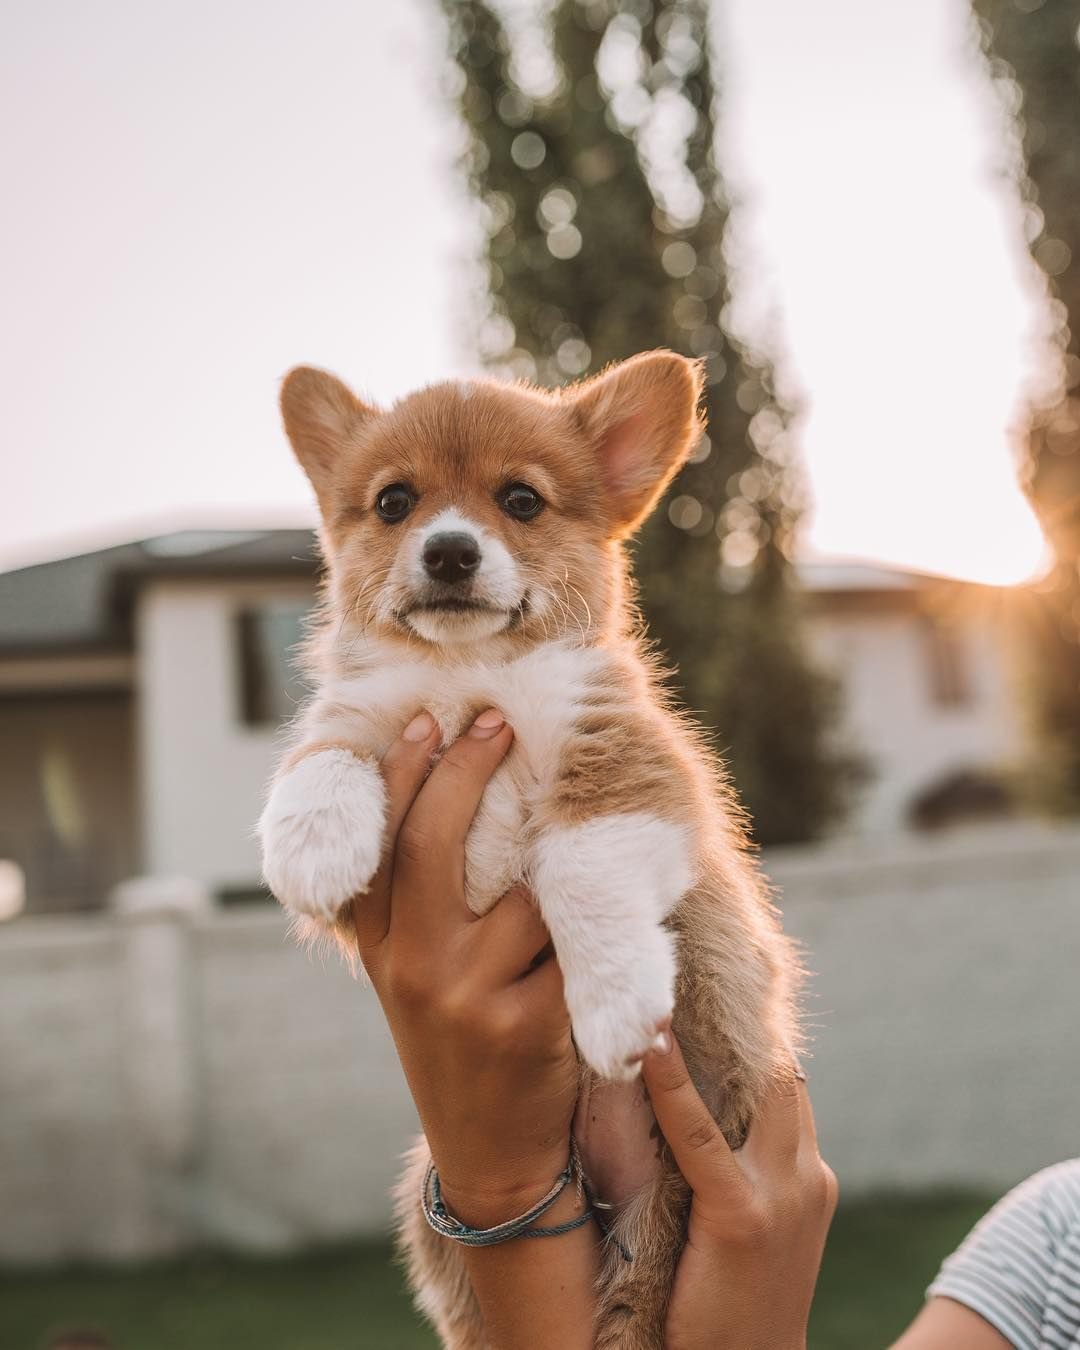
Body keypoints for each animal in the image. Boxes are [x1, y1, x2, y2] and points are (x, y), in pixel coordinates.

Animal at [257, 351, 799, 1350]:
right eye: (394, 503)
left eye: (520, 500)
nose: (449, 552)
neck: (472, 676)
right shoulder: (370, 720)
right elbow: (323, 749)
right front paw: (311, 847)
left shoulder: (634, 768)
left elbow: (579, 867)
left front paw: (615, 1008)